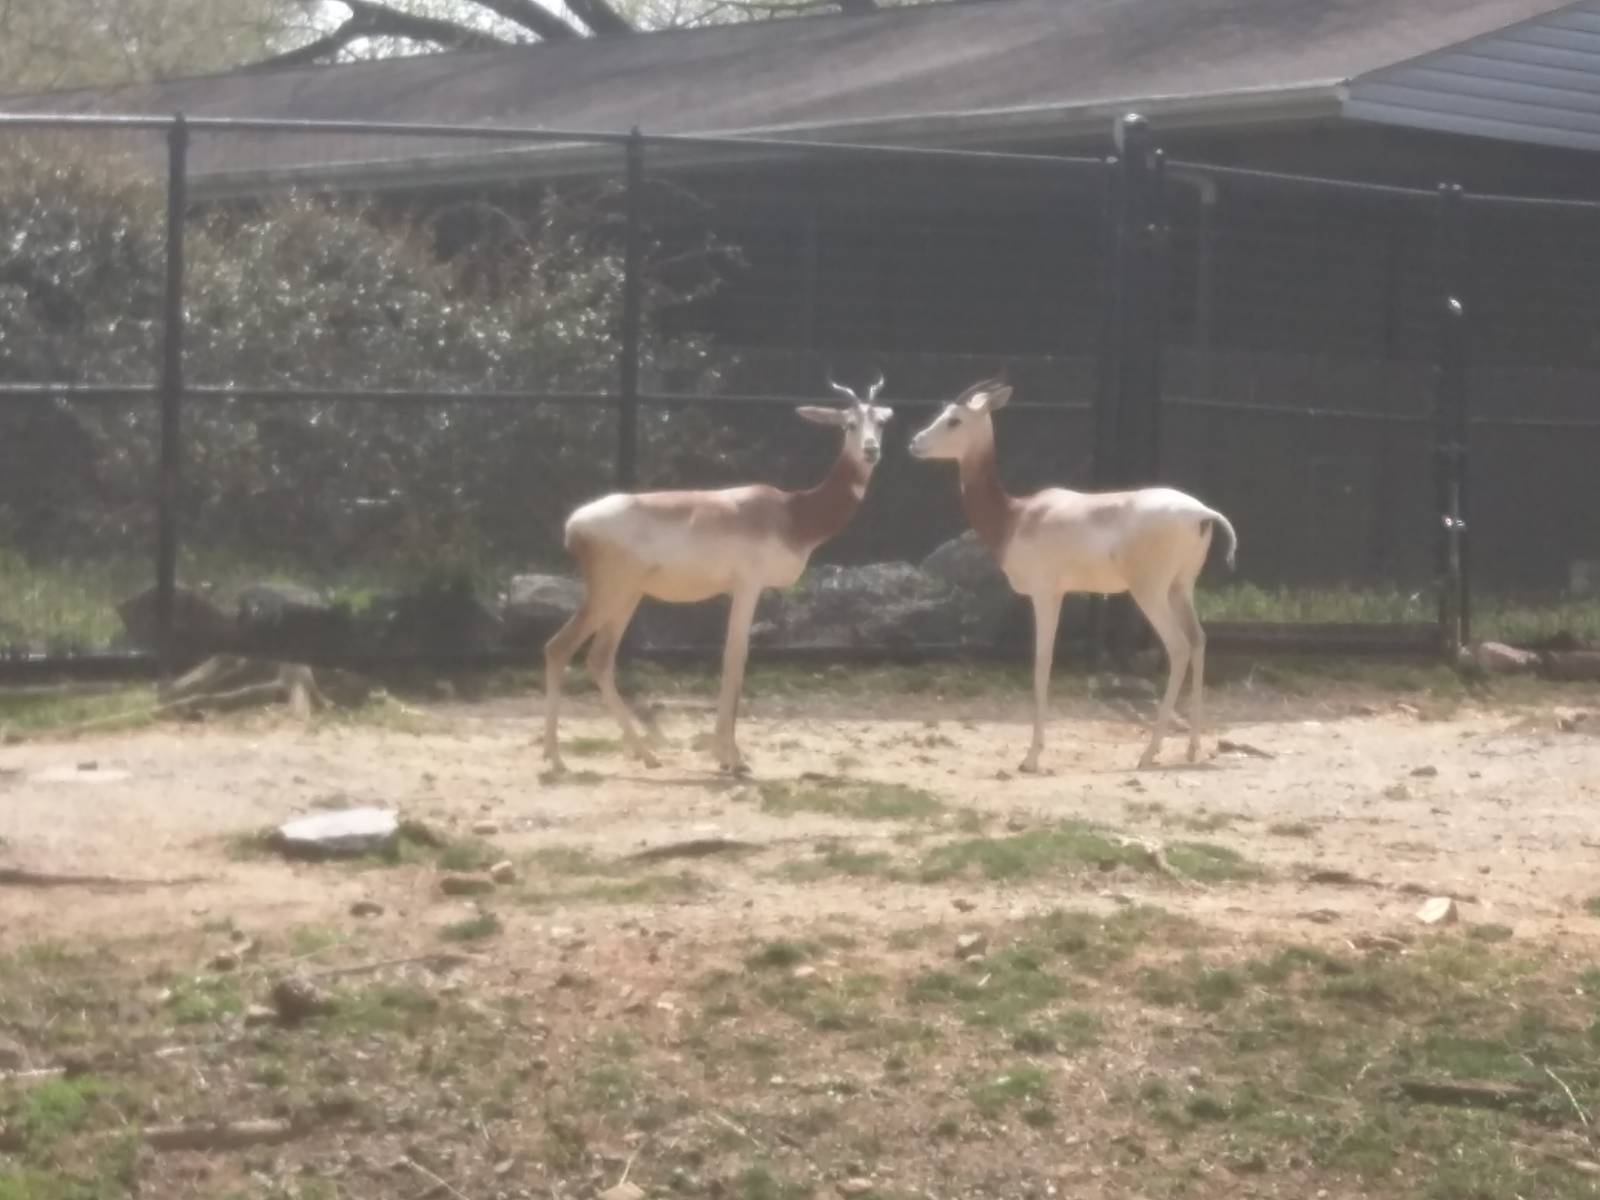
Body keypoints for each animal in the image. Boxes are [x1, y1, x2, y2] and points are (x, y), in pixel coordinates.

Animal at [543, 376, 894, 774]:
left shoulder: (741, 589)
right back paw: (556, 758)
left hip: (628, 597)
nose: (870, 450)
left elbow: (732, 659)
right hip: (609, 595)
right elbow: (735, 659)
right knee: (559, 648)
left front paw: (726, 754)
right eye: (849, 424)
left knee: (598, 660)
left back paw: (647, 754)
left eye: (880, 422)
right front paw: (731, 757)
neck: (791, 514)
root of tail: (574, 525)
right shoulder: (748, 586)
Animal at [908, 377, 1237, 772]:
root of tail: (1201, 513)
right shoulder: (1061, 593)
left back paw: (1148, 753)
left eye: (954, 420)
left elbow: (1042, 661)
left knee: (1179, 646)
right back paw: (1190, 748)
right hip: (1181, 587)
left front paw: (1031, 756)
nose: (915, 443)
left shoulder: (1045, 594)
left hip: (1150, 592)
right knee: (1199, 639)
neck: (1016, 517)